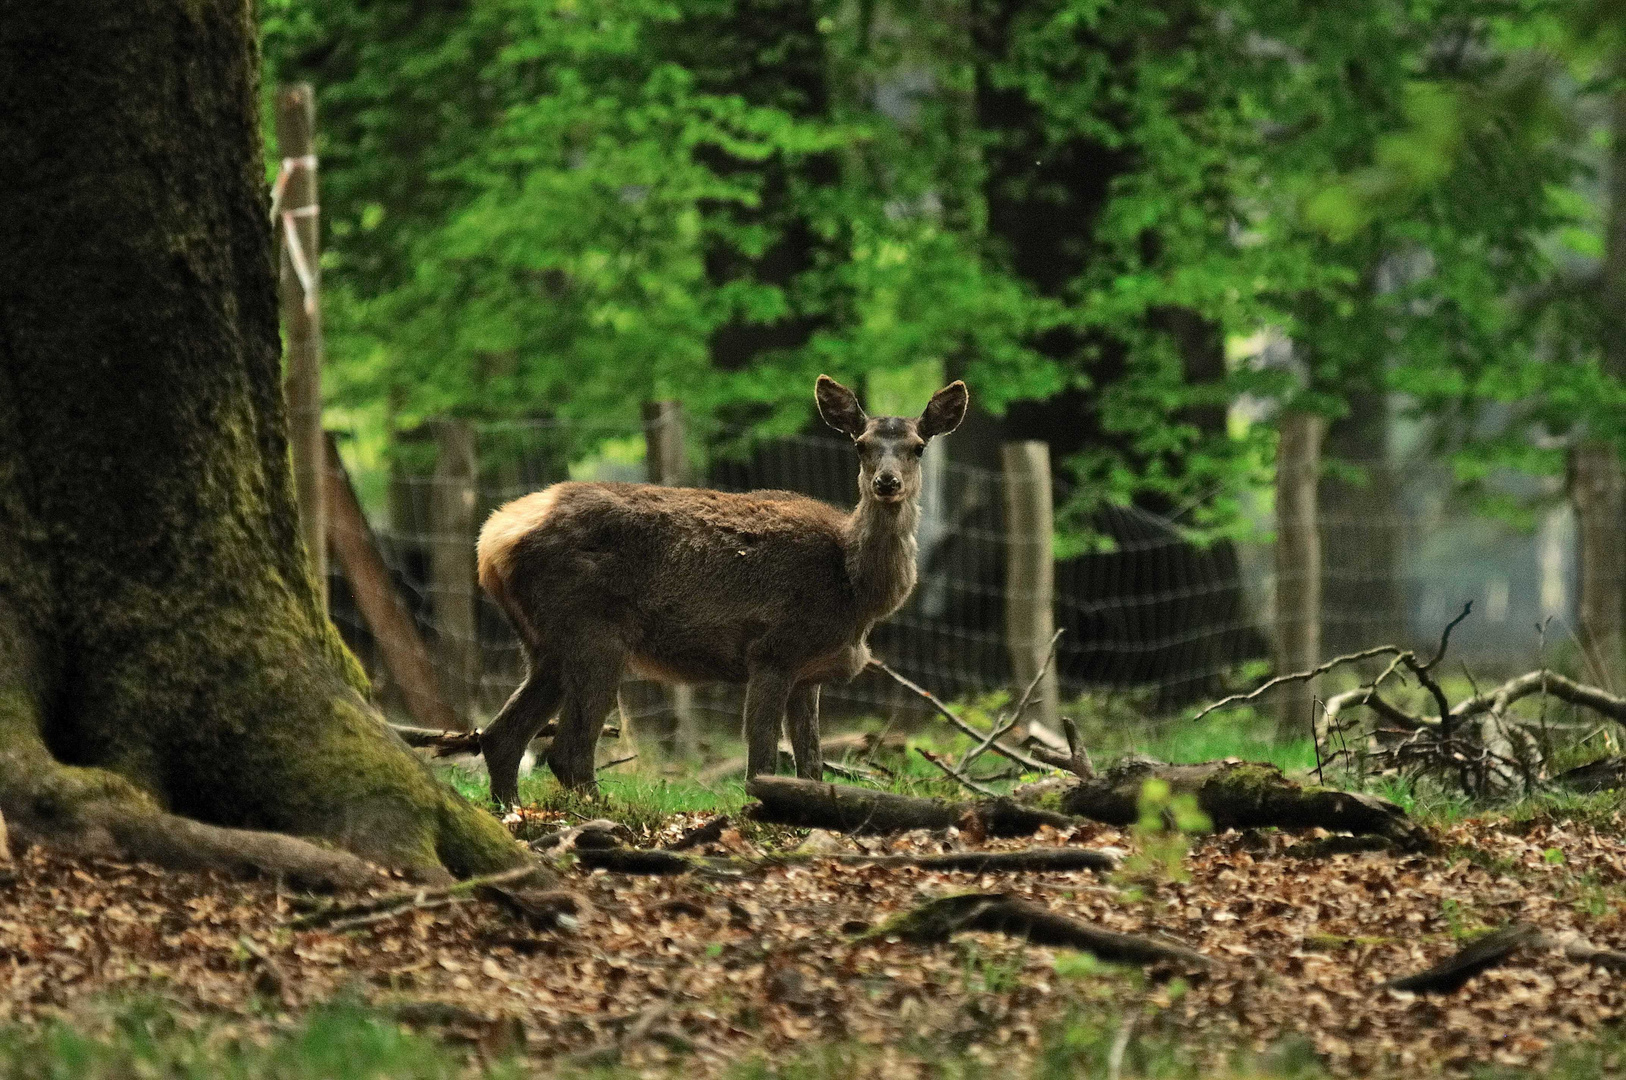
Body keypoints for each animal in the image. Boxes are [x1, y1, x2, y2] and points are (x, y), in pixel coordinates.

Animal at [474, 374, 969, 800]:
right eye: (861, 444)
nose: (887, 482)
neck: (855, 592)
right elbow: (762, 760)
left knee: (501, 737)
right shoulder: (773, 650)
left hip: (545, 644)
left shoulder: (811, 671)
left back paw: (513, 812)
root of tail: (490, 540)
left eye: (918, 447)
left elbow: (811, 765)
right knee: (567, 751)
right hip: (592, 631)